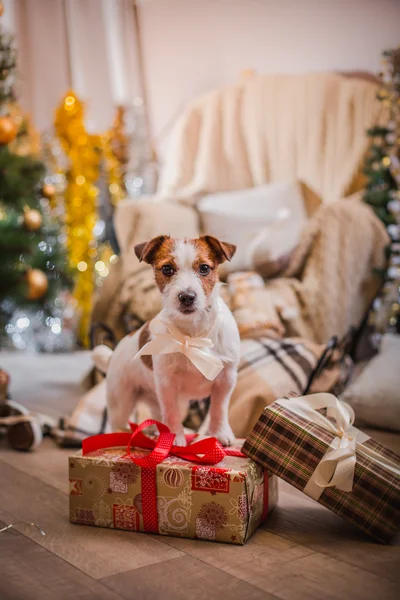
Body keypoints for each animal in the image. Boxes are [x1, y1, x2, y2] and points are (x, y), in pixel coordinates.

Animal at [92, 234, 239, 446]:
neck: (192, 335)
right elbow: (171, 413)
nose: (187, 297)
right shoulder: (167, 384)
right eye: (167, 269)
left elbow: (219, 409)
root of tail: (113, 355)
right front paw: (174, 437)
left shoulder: (226, 379)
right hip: (121, 399)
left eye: (204, 268)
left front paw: (219, 433)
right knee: (122, 420)